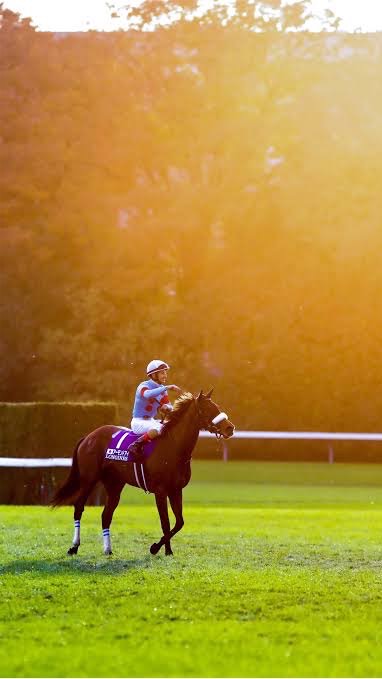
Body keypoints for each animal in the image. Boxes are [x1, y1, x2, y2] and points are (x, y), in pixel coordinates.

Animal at [50, 388, 236, 556]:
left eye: (217, 406)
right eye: (208, 409)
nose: (230, 428)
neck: (174, 447)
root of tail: (88, 437)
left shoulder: (176, 490)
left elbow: (179, 522)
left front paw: (163, 549)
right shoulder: (160, 491)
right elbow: (166, 522)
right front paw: (159, 549)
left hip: (114, 485)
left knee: (106, 515)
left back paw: (108, 550)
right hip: (88, 480)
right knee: (78, 508)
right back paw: (74, 547)